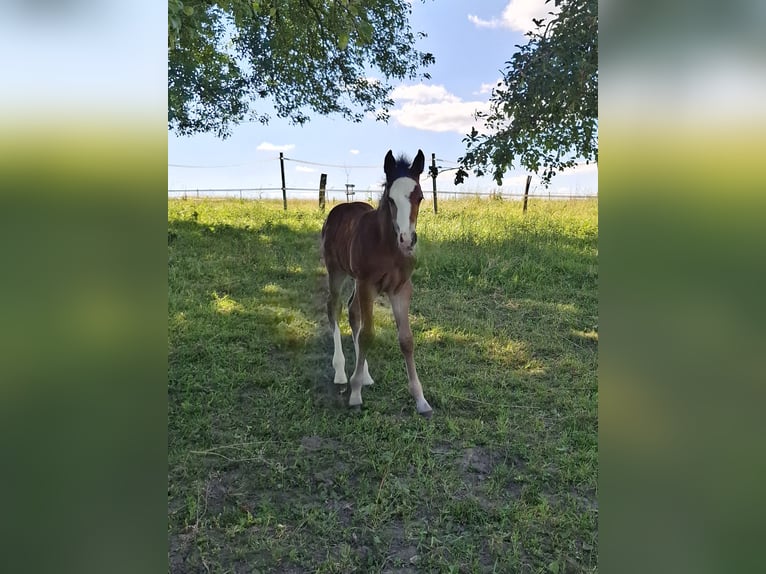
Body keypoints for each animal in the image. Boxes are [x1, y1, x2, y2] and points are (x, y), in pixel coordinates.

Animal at [320, 149, 432, 417]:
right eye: (390, 199)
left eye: (420, 197)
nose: (407, 240)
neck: (388, 246)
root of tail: (342, 207)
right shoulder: (367, 284)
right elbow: (368, 335)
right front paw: (355, 394)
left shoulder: (401, 289)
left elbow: (406, 340)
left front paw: (420, 399)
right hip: (337, 271)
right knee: (334, 307)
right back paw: (341, 372)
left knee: (352, 312)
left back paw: (364, 375)